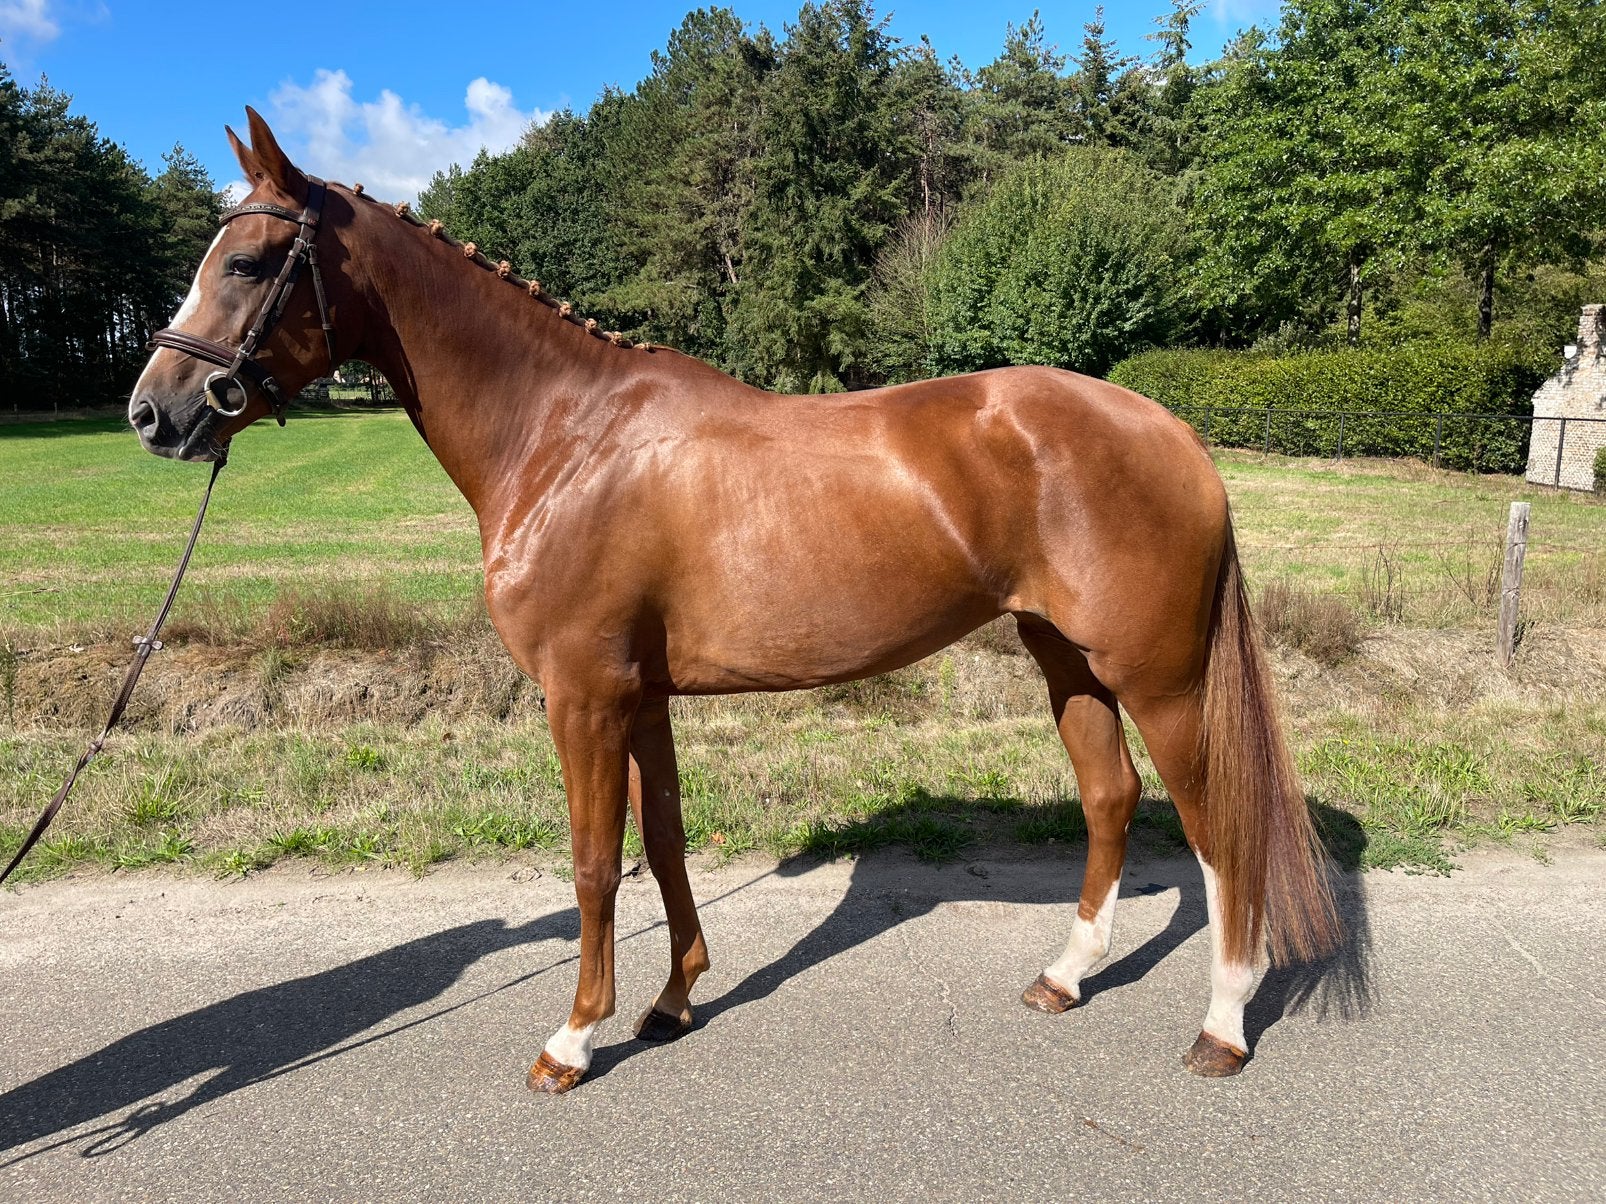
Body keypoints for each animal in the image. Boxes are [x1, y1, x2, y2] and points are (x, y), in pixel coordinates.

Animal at [127, 108, 1338, 1094]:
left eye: (249, 261)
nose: (152, 412)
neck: (563, 437)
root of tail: (1174, 430)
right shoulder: (641, 696)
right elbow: (662, 842)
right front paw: (672, 1002)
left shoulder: (581, 697)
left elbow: (591, 863)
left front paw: (572, 1039)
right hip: (1064, 657)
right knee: (1108, 797)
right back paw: (1066, 976)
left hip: (1159, 676)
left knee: (1217, 827)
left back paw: (1223, 1025)